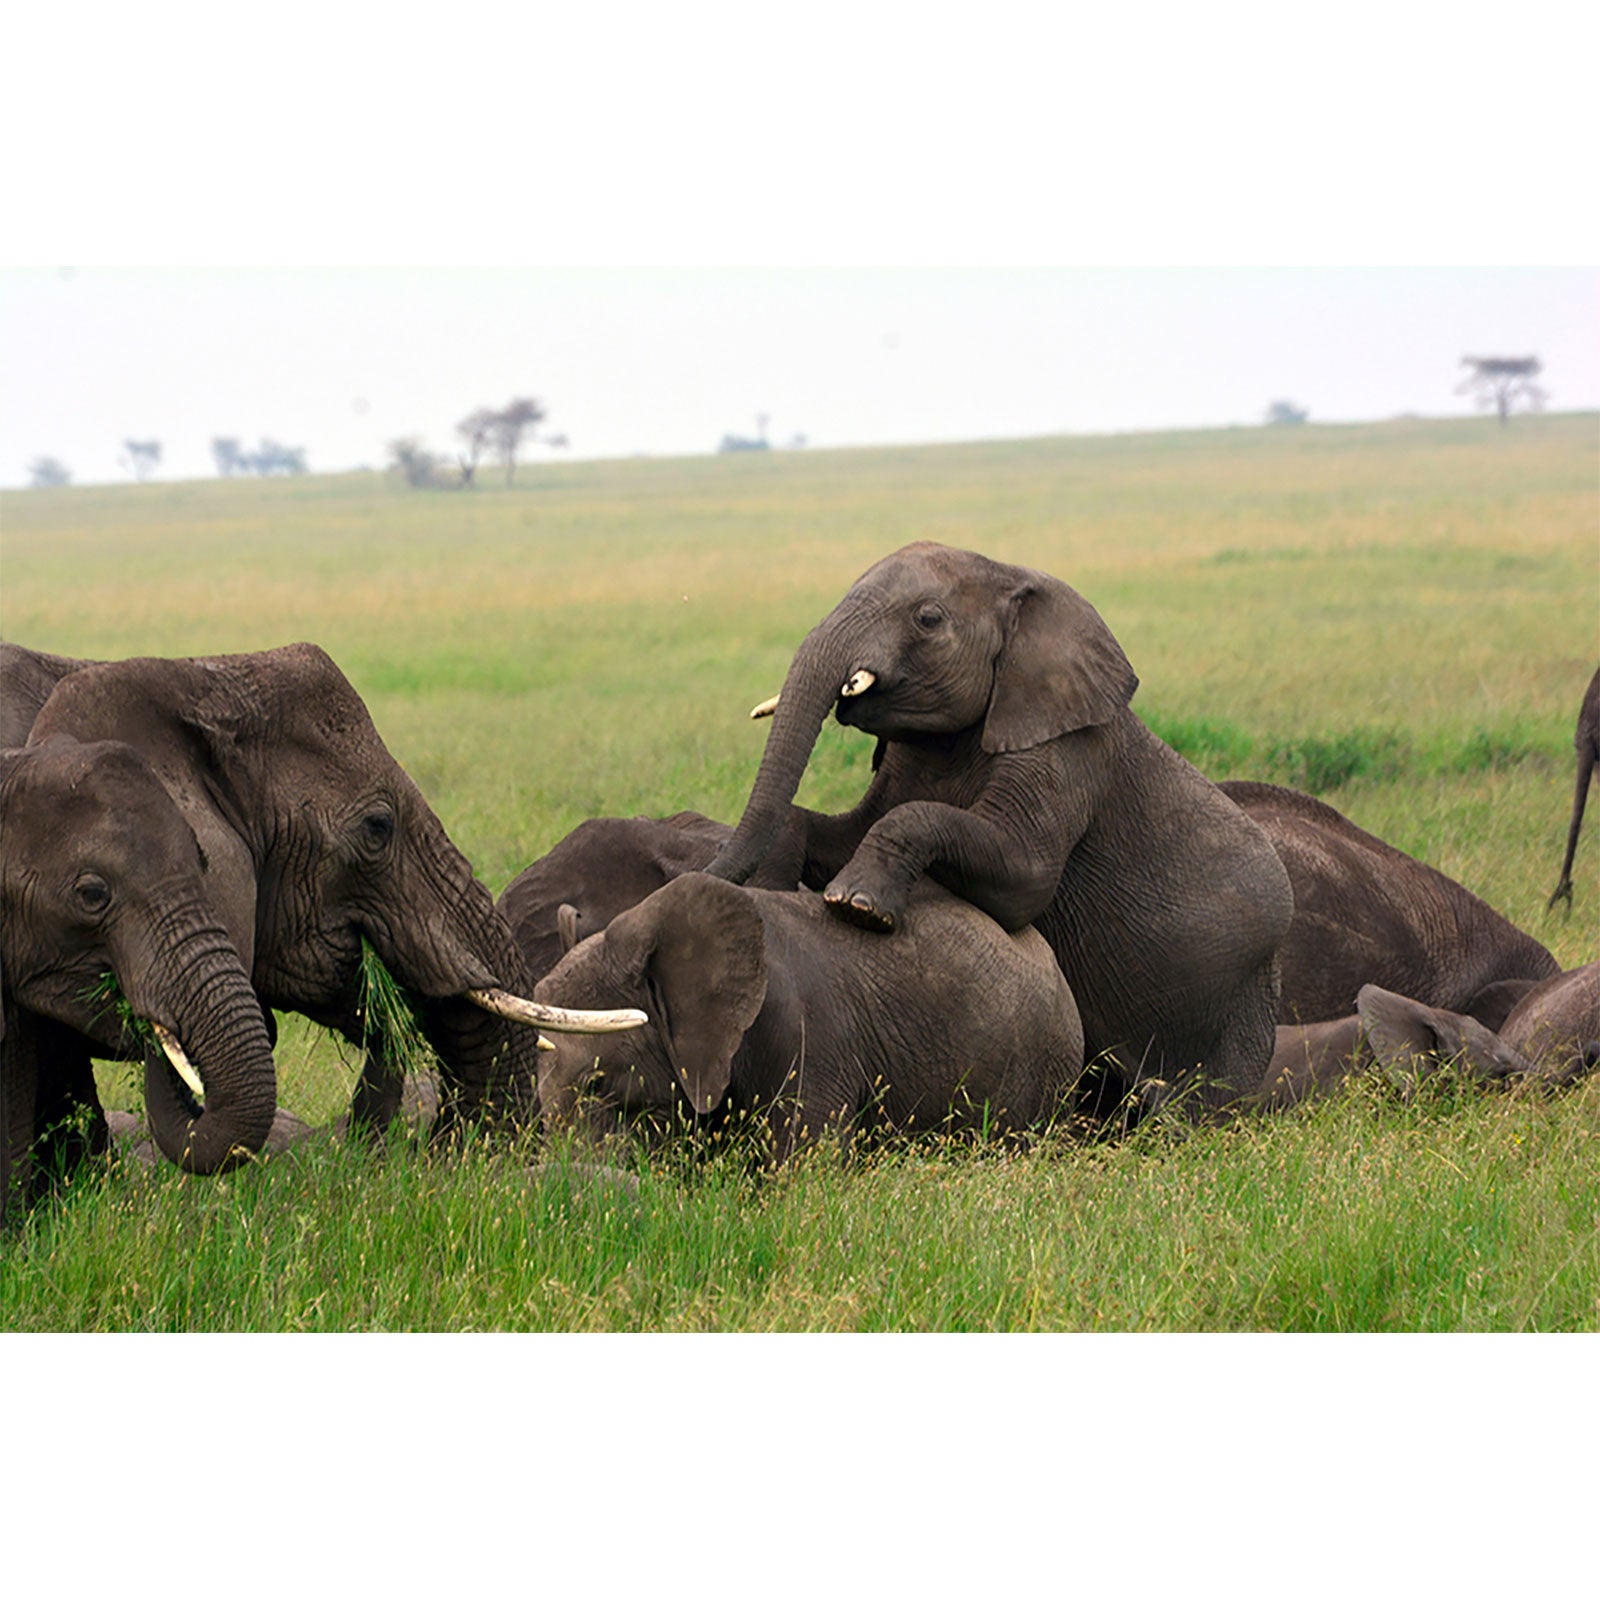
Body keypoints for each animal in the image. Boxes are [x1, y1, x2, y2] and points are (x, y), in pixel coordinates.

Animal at [707, 544, 1292, 1120]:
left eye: (927, 619)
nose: (709, 877)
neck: (1014, 577)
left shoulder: (1067, 753)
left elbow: (1021, 882)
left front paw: (857, 908)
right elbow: (841, 832)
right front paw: (772, 886)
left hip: (1240, 1000)